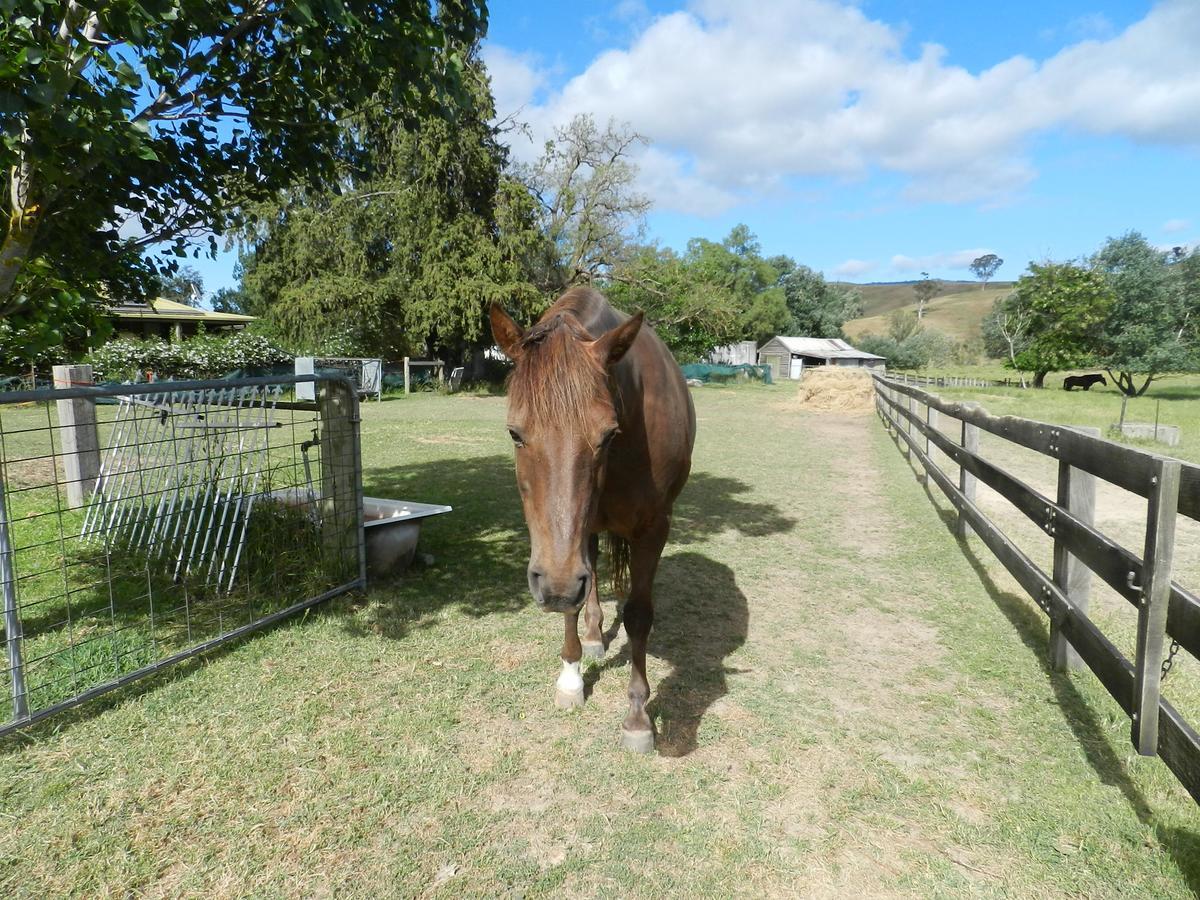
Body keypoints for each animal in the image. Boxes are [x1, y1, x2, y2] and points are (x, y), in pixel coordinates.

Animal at [487, 289, 696, 753]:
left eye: (608, 435)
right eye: (514, 433)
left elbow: (638, 615)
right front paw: (571, 677)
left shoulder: (654, 529)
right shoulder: (567, 551)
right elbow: (574, 601)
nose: (556, 586)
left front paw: (638, 716)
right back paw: (596, 637)